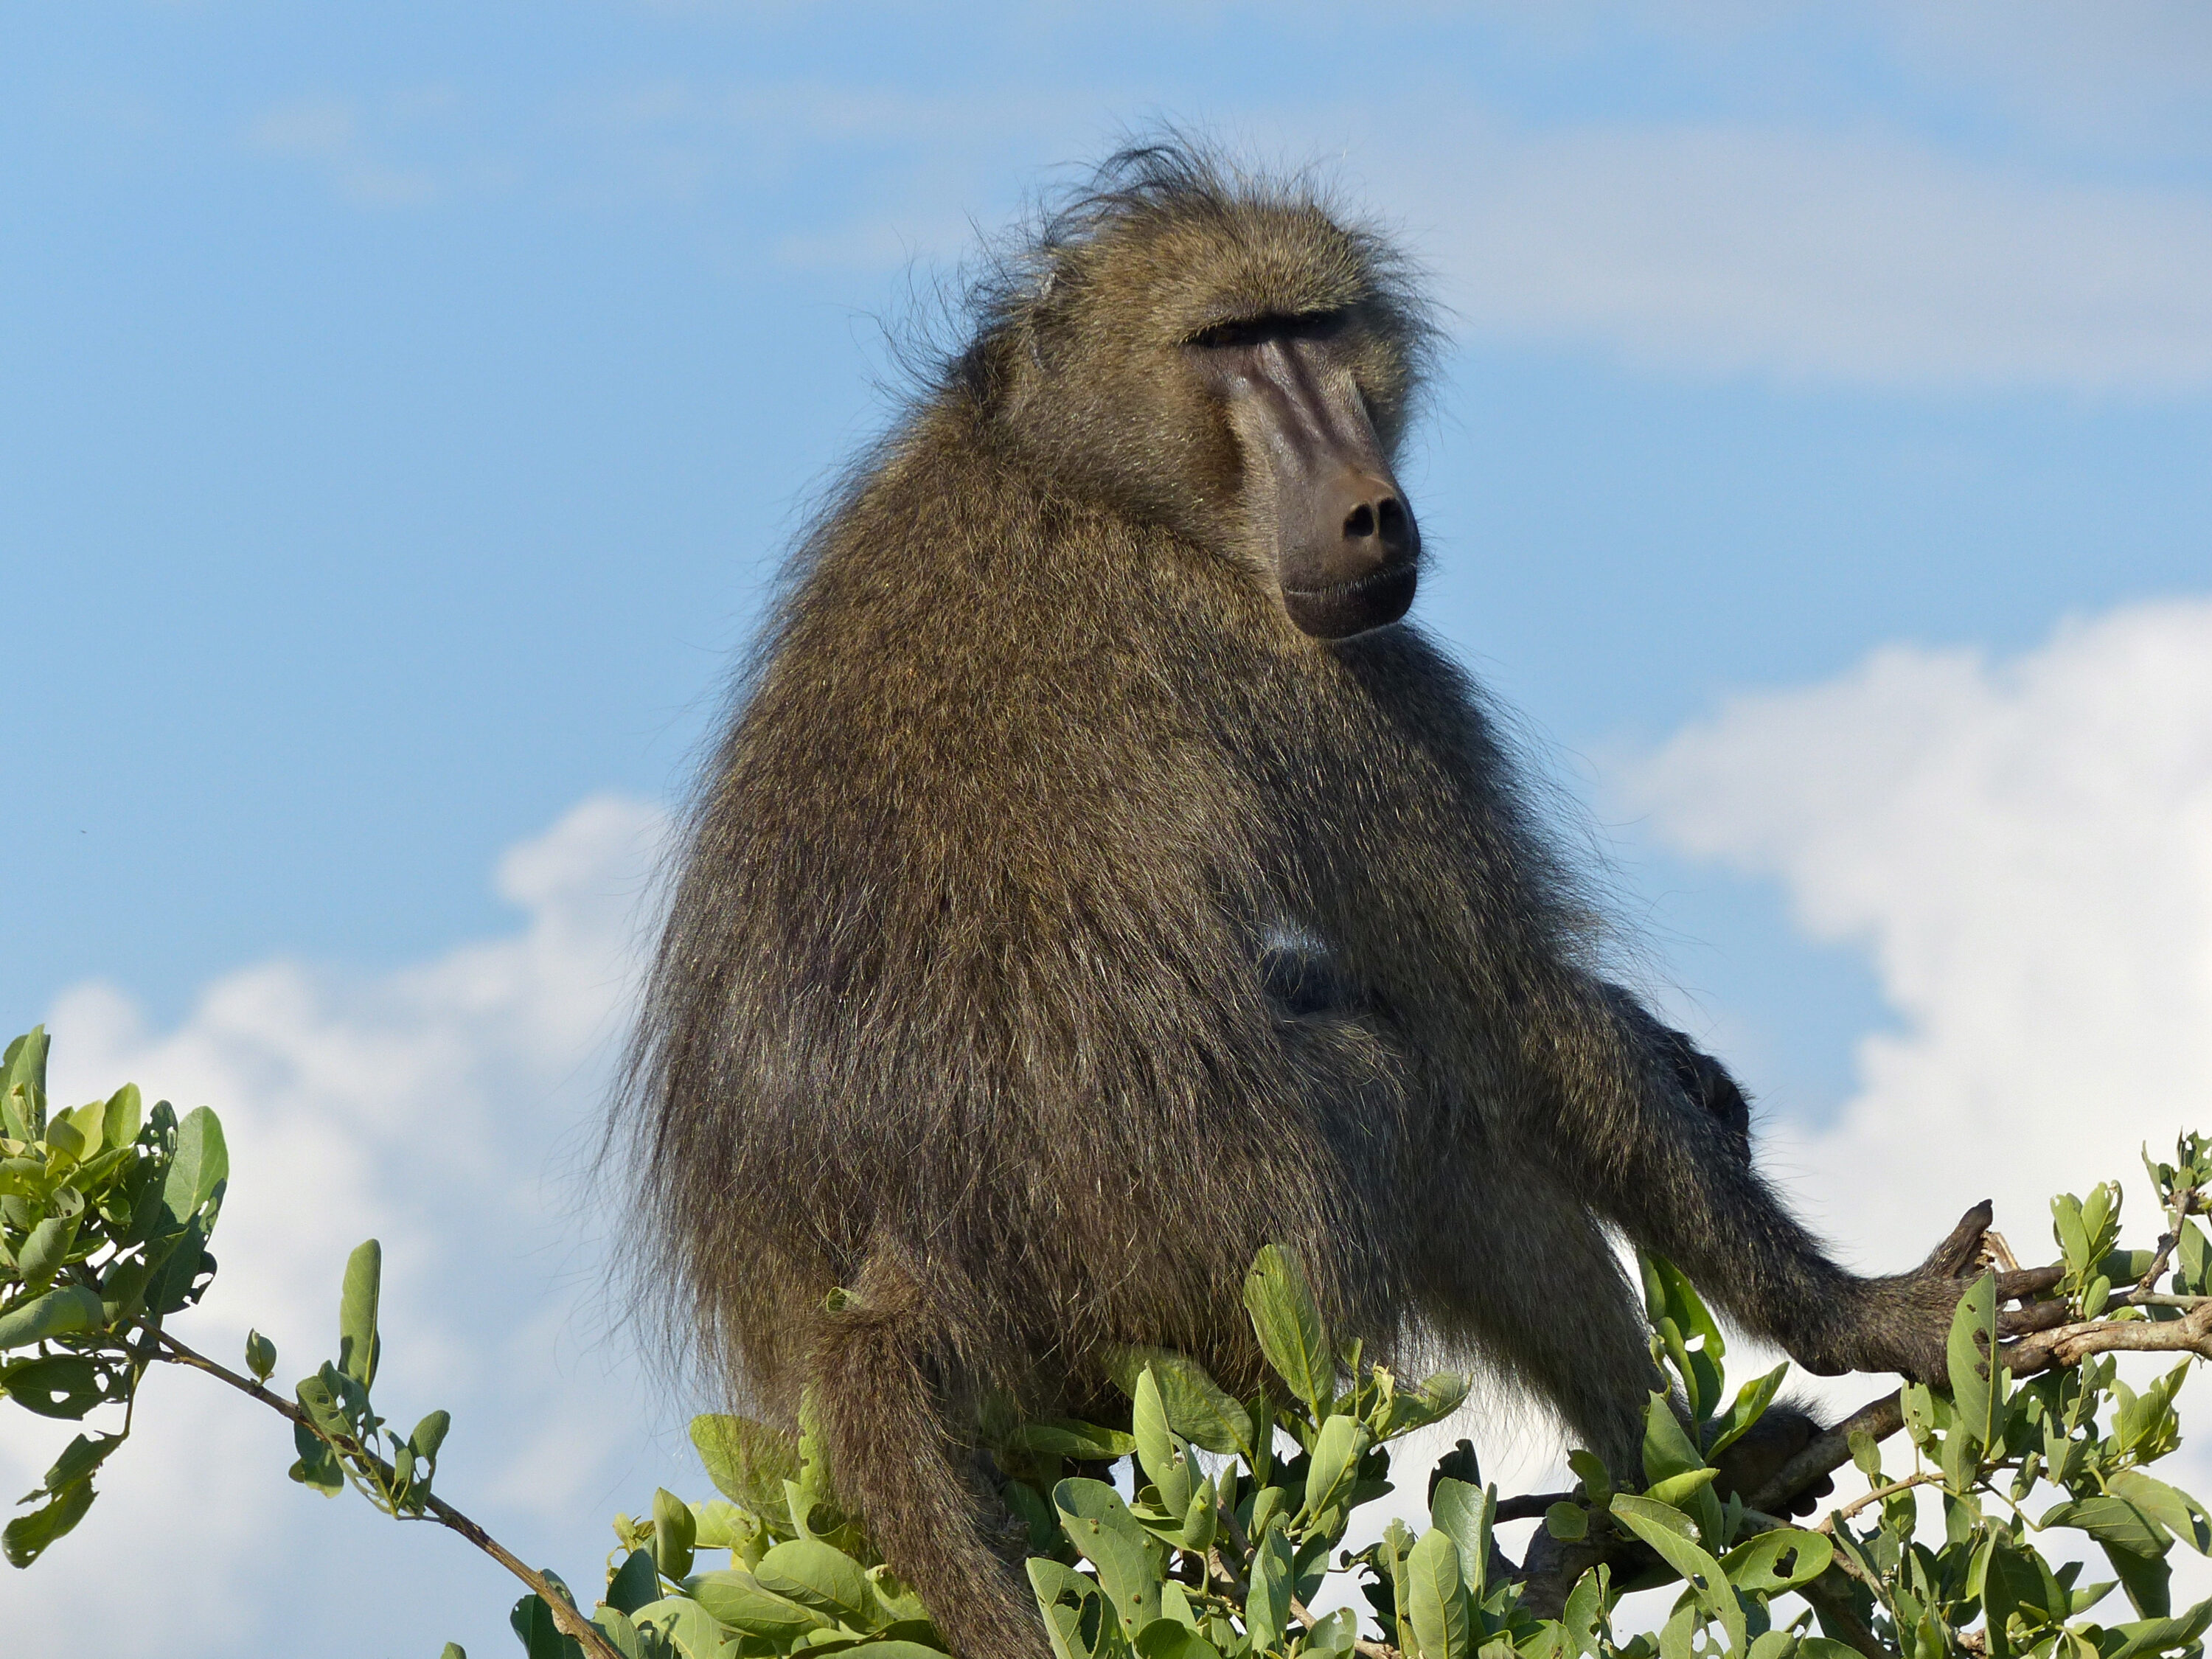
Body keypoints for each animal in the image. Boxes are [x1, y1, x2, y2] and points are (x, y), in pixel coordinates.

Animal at [623, 144, 2024, 1659]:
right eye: (1228, 342)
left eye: (1314, 325)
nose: (1368, 507)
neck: (1082, 466)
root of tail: (894, 1270)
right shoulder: (1328, 679)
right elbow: (1512, 1018)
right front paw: (1867, 1319)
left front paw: (1685, 1063)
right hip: (1220, 1260)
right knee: (1432, 1106)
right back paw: (1675, 1487)